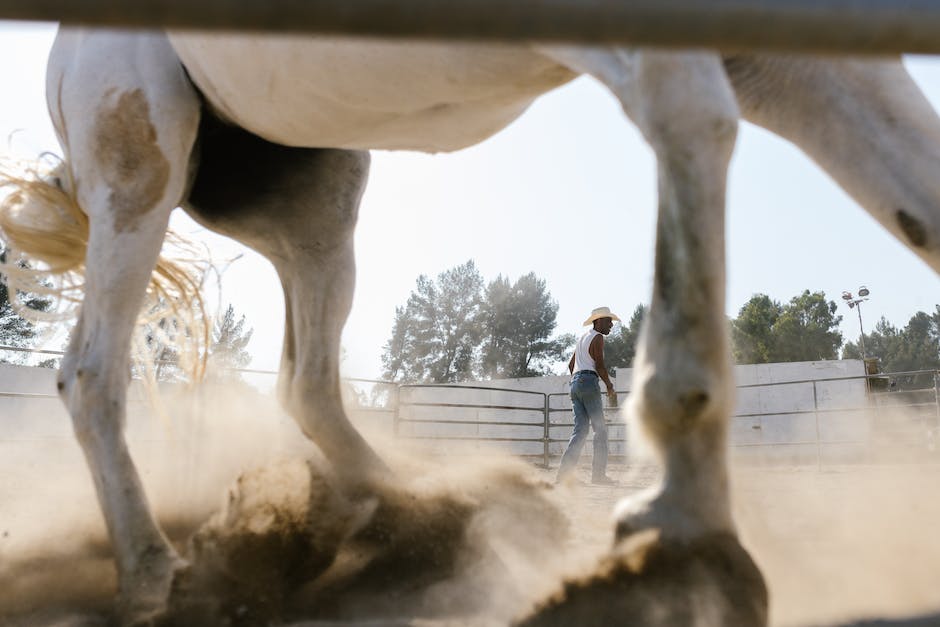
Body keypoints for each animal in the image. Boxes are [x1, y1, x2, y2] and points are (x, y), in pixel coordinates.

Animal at [1, 25, 940, 627]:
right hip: (137, 166)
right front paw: (679, 540)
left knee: (308, 380)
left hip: (312, 193)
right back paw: (156, 576)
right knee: (91, 370)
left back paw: (427, 515)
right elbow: (694, 117)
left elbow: (920, 199)